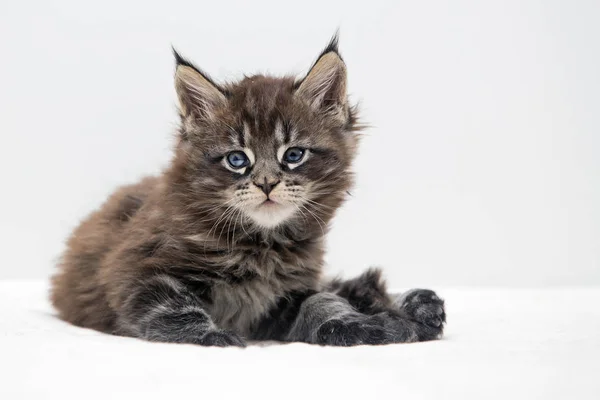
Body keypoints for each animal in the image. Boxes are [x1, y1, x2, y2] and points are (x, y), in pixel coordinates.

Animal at [50, 36, 446, 346]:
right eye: (237, 159)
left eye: (294, 155)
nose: (267, 184)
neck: (262, 245)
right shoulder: (133, 272)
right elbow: (175, 309)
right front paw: (212, 336)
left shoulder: (286, 292)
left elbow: (321, 301)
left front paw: (355, 324)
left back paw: (416, 305)